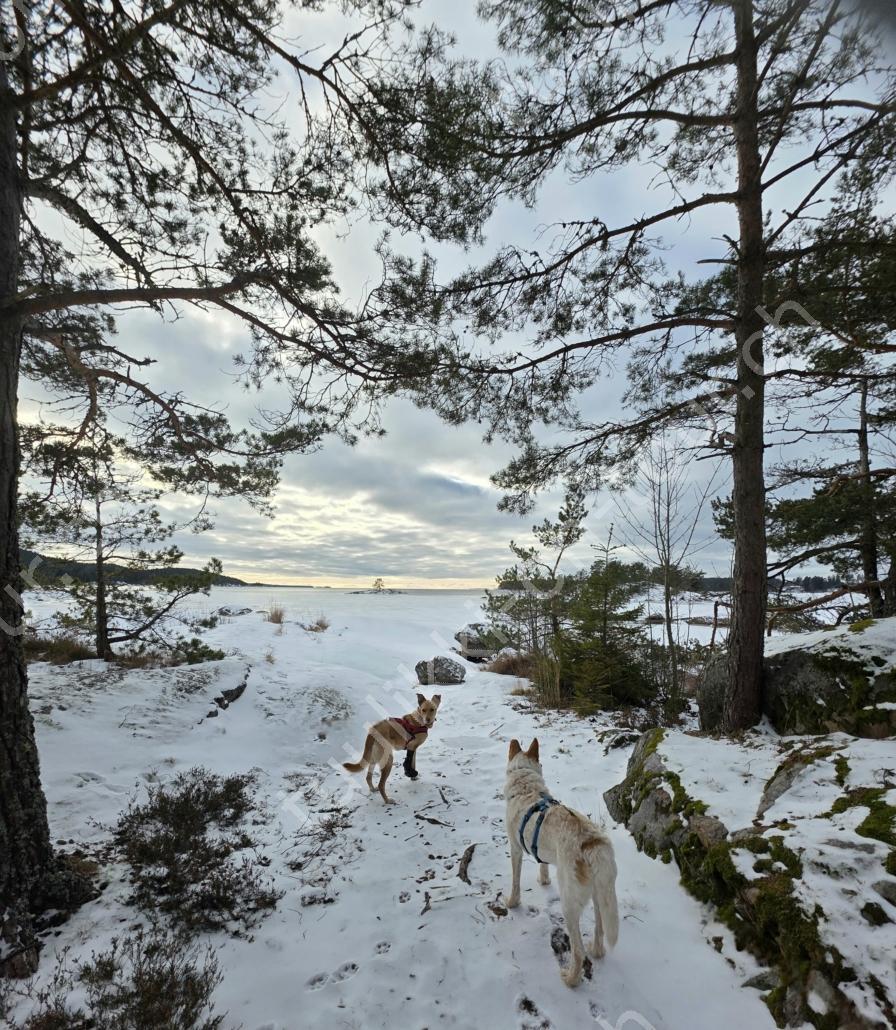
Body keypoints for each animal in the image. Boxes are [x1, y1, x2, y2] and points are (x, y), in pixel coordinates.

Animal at [504, 737, 618, 987]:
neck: (527, 789)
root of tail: (591, 843)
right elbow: (543, 863)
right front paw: (544, 881)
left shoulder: (515, 849)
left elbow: (515, 881)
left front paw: (512, 903)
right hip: (599, 894)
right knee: (600, 932)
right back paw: (596, 950)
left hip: (569, 905)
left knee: (577, 952)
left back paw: (571, 979)